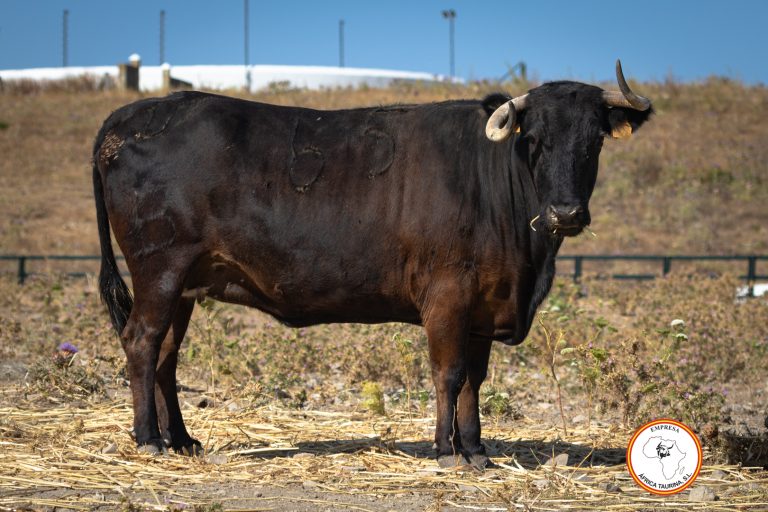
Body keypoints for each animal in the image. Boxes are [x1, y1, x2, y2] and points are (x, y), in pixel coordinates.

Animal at [93, 60, 652, 469]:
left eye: (594, 142)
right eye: (534, 140)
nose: (566, 212)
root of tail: (137, 113)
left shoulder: (483, 307)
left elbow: (474, 380)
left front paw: (475, 450)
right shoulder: (448, 297)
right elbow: (448, 374)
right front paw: (446, 451)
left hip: (184, 284)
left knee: (166, 355)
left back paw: (182, 439)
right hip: (159, 270)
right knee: (142, 342)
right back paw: (148, 438)